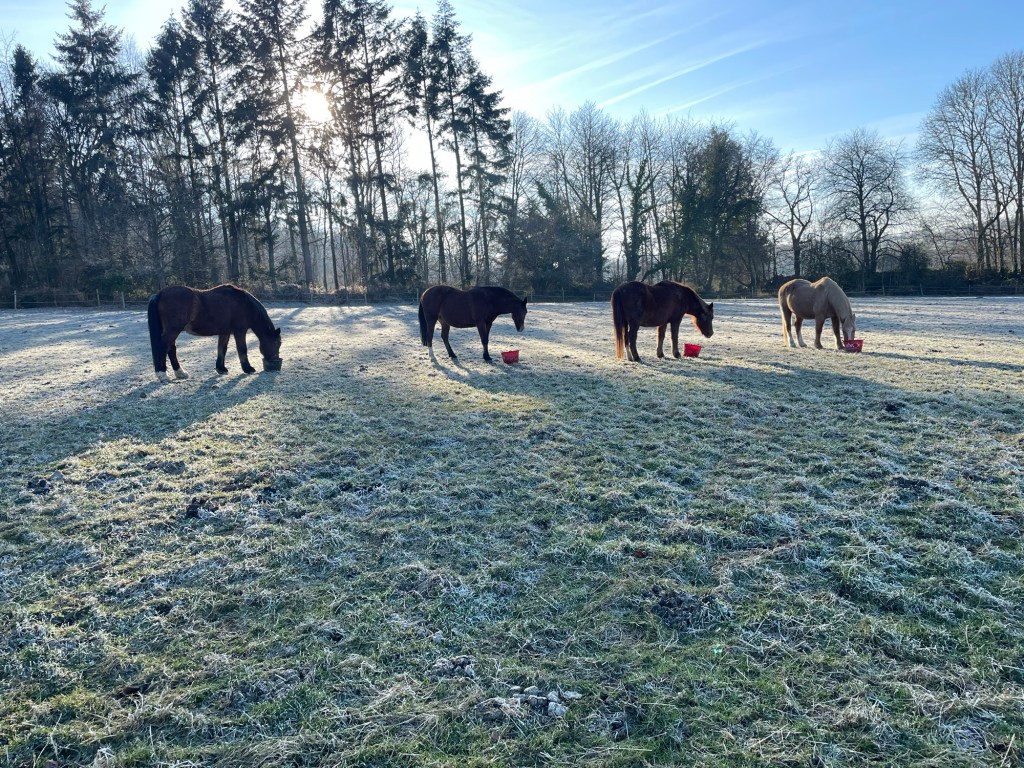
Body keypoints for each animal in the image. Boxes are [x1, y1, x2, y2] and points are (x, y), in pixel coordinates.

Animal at [147, 284, 282, 382]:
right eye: (278, 343)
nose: (275, 360)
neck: (244, 304)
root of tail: (159, 294)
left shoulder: (225, 332)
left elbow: (222, 349)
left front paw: (221, 368)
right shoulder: (240, 331)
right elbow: (242, 349)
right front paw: (248, 369)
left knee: (171, 349)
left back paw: (180, 373)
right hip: (173, 331)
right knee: (163, 347)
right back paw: (162, 374)